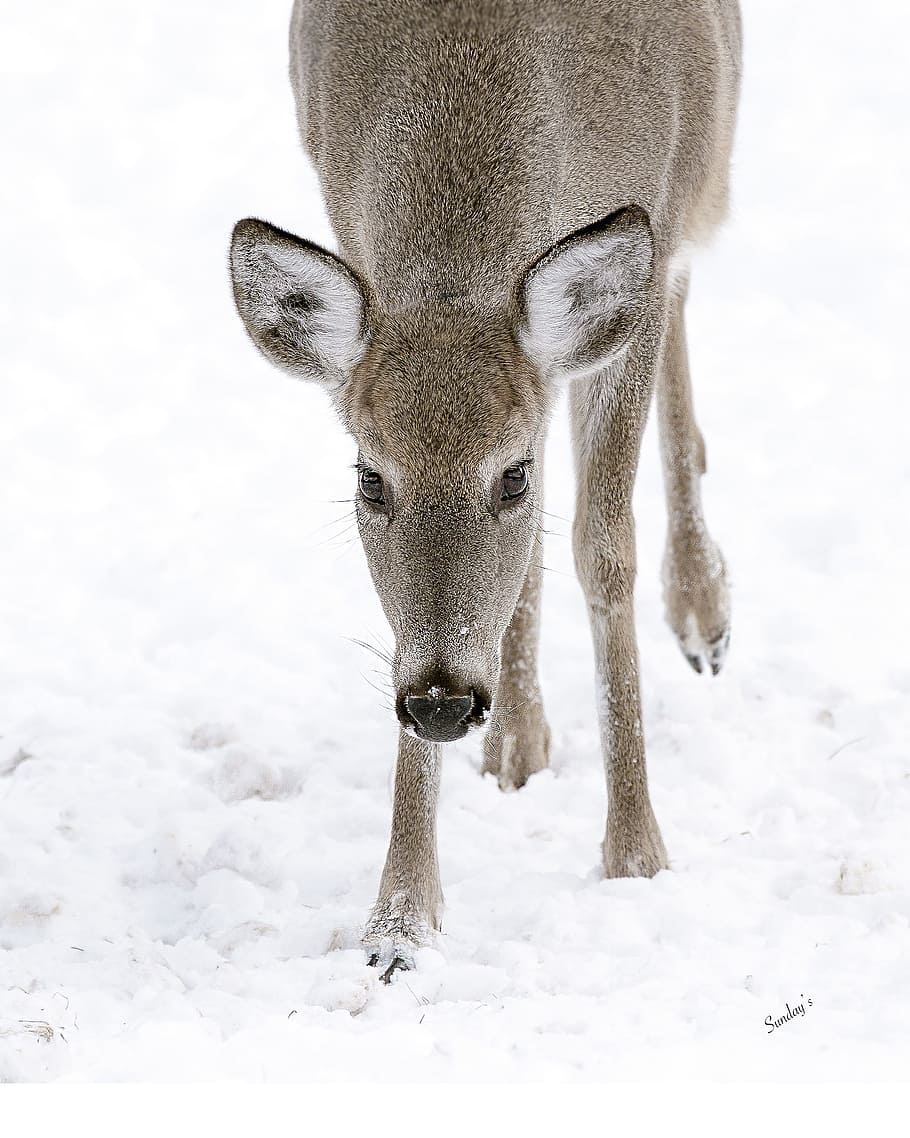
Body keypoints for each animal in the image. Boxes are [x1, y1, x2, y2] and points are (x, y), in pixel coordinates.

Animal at [229, 0, 742, 982]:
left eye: (509, 477)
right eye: (370, 477)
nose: (443, 700)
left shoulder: (648, 239)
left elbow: (602, 546)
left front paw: (636, 855)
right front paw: (398, 922)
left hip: (704, 167)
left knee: (684, 301)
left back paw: (702, 608)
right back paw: (518, 742)